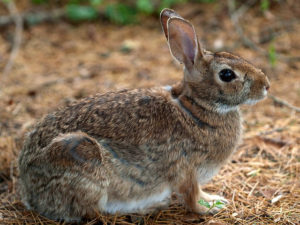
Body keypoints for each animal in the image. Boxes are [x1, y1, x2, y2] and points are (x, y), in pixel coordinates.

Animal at [17, 8, 270, 221]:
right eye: (227, 75)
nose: (266, 86)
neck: (196, 109)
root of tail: (28, 186)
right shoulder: (186, 171)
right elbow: (192, 197)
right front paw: (211, 207)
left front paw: (215, 200)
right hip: (83, 157)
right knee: (95, 211)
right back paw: (149, 207)